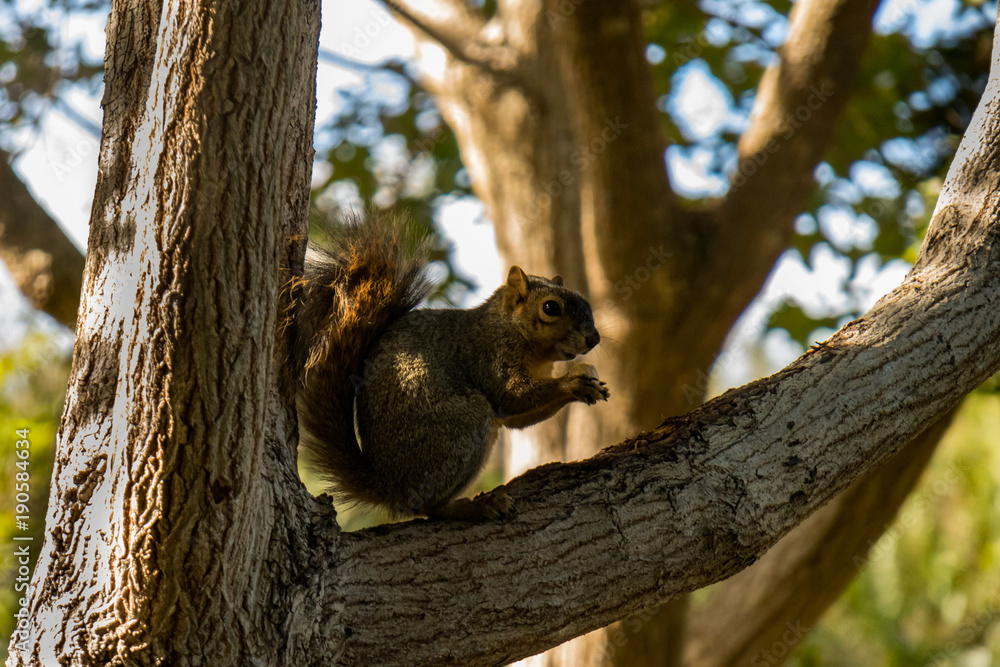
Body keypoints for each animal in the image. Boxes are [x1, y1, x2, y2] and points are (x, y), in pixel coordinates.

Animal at [295, 212, 609, 521]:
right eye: (550, 308)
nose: (594, 338)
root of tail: (390, 487)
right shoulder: (489, 356)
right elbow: (511, 396)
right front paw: (573, 382)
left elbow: (517, 418)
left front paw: (586, 387)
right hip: (460, 427)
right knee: (429, 508)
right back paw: (478, 506)